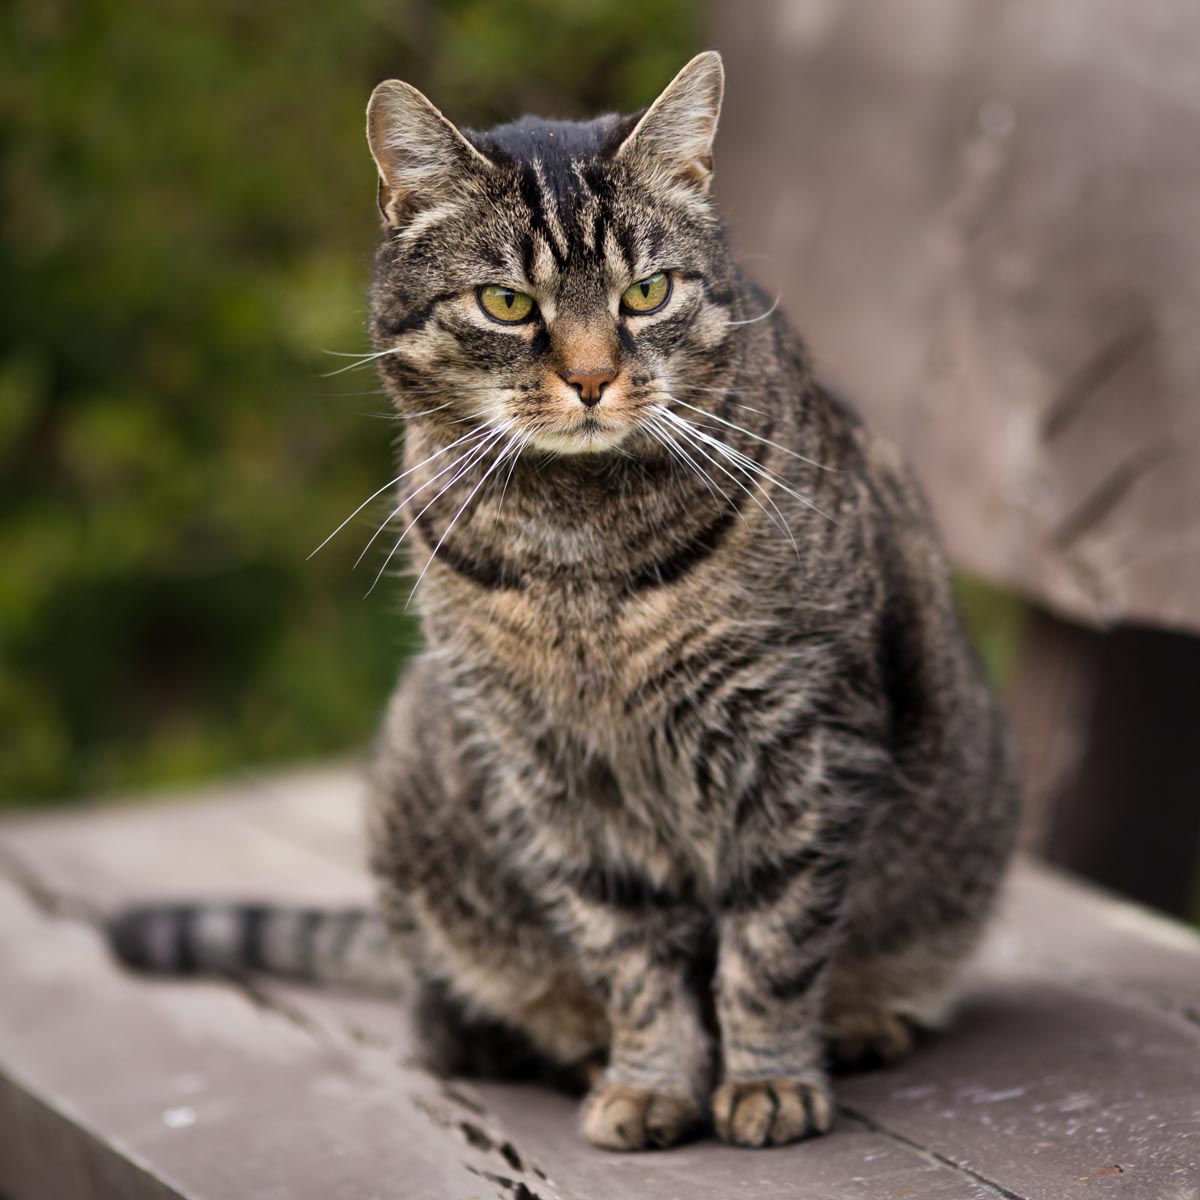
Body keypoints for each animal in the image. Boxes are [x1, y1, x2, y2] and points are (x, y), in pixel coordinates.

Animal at [112, 56, 1017, 1152]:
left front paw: (766, 1080)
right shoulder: (551, 774)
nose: (591, 378)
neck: (580, 552)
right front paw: (651, 1082)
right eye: (507, 302)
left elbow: (772, 942)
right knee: (446, 1022)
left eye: (647, 293)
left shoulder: (802, 739)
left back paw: (862, 1021)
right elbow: (628, 957)